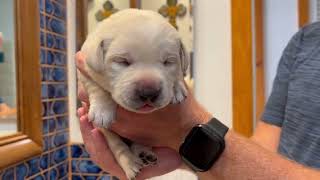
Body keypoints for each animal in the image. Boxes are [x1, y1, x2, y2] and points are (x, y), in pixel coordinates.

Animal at [79, 8, 189, 180]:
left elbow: (180, 71)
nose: (149, 92)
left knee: (138, 141)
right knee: (118, 145)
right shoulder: (84, 68)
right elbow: (96, 87)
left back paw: (144, 153)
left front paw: (177, 88)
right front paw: (102, 111)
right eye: (122, 61)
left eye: (168, 62)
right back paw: (130, 163)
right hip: (109, 134)